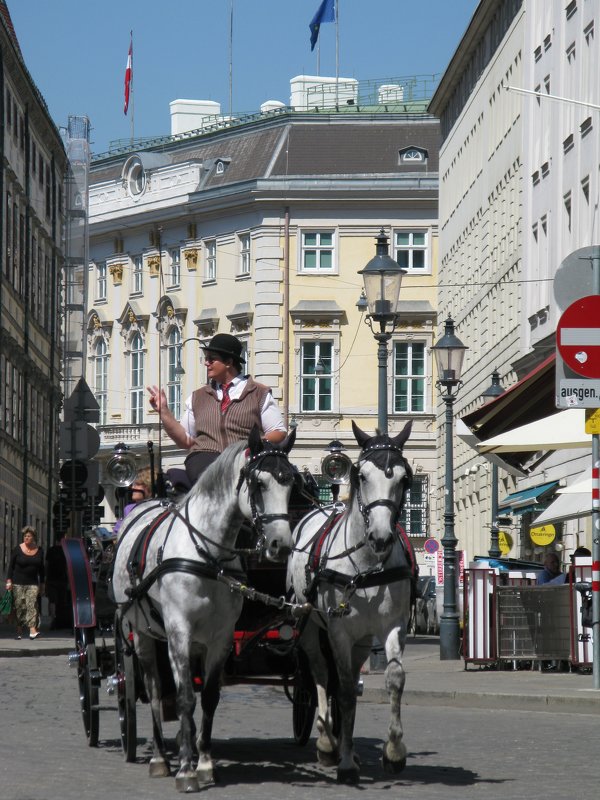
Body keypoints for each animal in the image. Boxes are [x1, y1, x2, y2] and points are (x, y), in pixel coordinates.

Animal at [111, 428, 296, 792]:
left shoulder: (220, 637)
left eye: (290, 483)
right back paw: (159, 757)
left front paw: (206, 763)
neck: (208, 555)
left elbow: (209, 697)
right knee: (154, 689)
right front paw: (186, 770)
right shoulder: (179, 632)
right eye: (258, 483)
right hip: (141, 634)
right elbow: (184, 697)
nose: (280, 546)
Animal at [286, 422, 412, 784]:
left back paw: (347, 745)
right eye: (362, 475)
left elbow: (393, 680)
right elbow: (339, 689)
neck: (366, 564)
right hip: (310, 626)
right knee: (319, 674)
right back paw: (328, 743)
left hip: (362, 640)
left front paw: (393, 752)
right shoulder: (338, 631)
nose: (381, 538)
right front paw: (342, 762)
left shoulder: (393, 627)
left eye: (404, 478)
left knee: (350, 682)